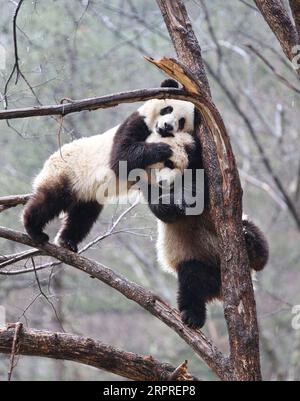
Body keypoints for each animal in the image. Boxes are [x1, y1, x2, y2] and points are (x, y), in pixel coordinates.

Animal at [22, 79, 197, 252]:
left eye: (181, 121)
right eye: (167, 109)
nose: (167, 126)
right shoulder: (136, 123)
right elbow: (121, 156)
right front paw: (163, 149)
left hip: (88, 193)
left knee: (83, 215)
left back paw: (67, 241)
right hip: (67, 172)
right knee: (50, 199)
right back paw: (34, 229)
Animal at [145, 79, 270, 328]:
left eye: (181, 121)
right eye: (166, 109)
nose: (166, 126)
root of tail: (220, 289)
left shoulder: (199, 154)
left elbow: (199, 180)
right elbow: (158, 203)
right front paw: (170, 203)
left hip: (242, 225)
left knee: (258, 243)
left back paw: (252, 245)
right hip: (195, 258)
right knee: (192, 280)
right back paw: (192, 316)